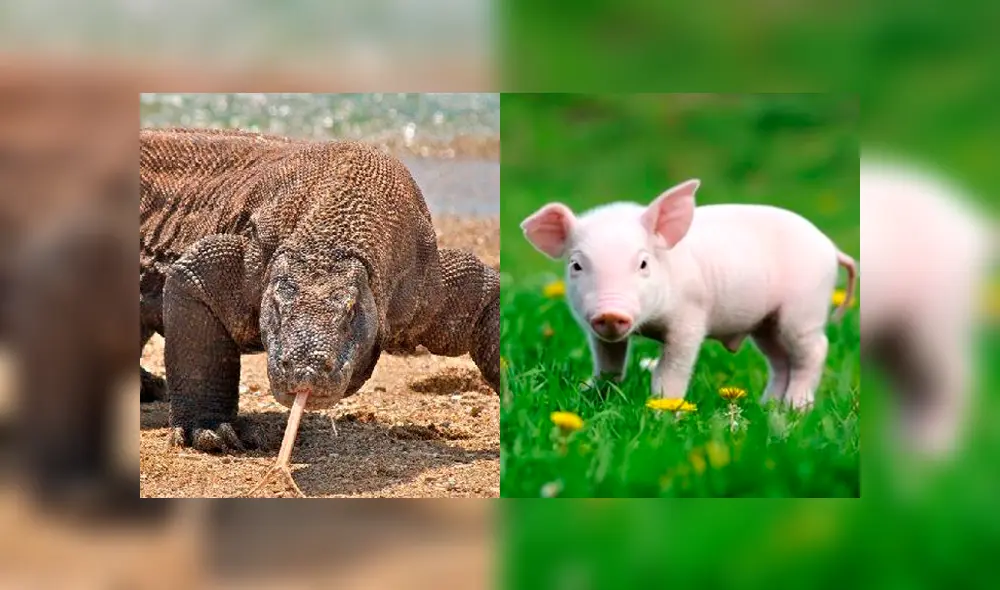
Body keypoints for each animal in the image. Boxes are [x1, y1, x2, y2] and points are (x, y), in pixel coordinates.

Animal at [521, 179, 857, 409]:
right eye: (576, 265)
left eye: (643, 263)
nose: (611, 312)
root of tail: (831, 248)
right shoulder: (598, 333)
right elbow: (608, 365)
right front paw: (589, 396)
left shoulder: (690, 318)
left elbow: (670, 371)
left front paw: (663, 411)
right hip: (766, 324)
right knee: (780, 361)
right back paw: (767, 407)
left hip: (804, 309)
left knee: (815, 350)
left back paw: (795, 408)